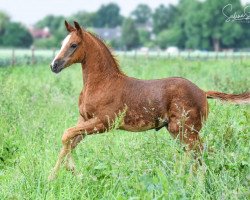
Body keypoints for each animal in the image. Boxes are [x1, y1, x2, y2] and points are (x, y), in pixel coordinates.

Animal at [47, 21, 249, 180]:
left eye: (74, 45)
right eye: (62, 43)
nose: (54, 65)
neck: (102, 83)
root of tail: (202, 92)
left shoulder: (104, 122)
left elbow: (66, 135)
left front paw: (70, 170)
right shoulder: (84, 120)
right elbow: (69, 142)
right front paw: (54, 177)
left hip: (185, 130)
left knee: (198, 152)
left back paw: (188, 180)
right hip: (179, 131)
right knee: (200, 153)